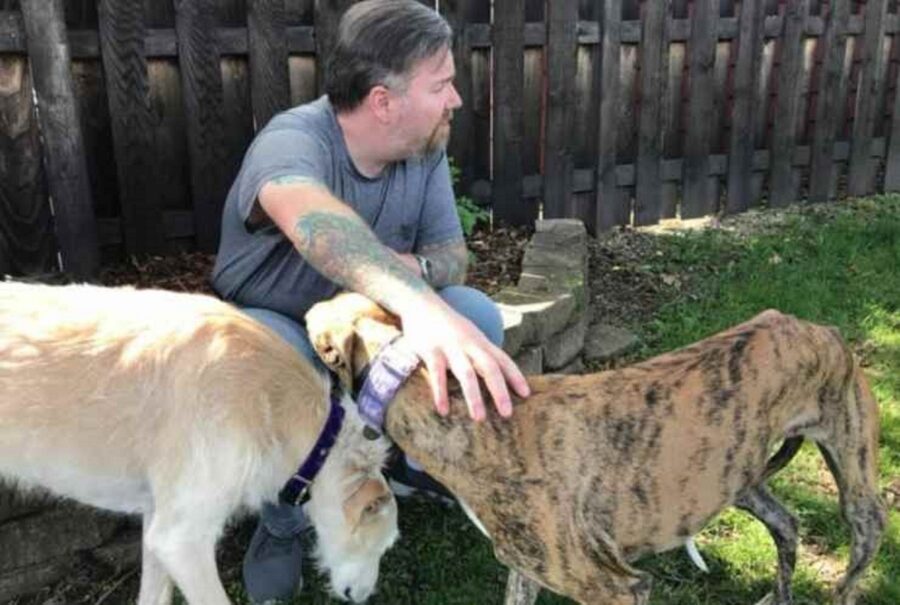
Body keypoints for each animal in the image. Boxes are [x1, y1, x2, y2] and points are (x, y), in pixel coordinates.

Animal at [304, 292, 884, 604]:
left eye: (314, 325)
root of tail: (820, 328)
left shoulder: (619, 586)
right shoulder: (528, 565)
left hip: (856, 489)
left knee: (858, 550)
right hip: (732, 477)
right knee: (787, 523)